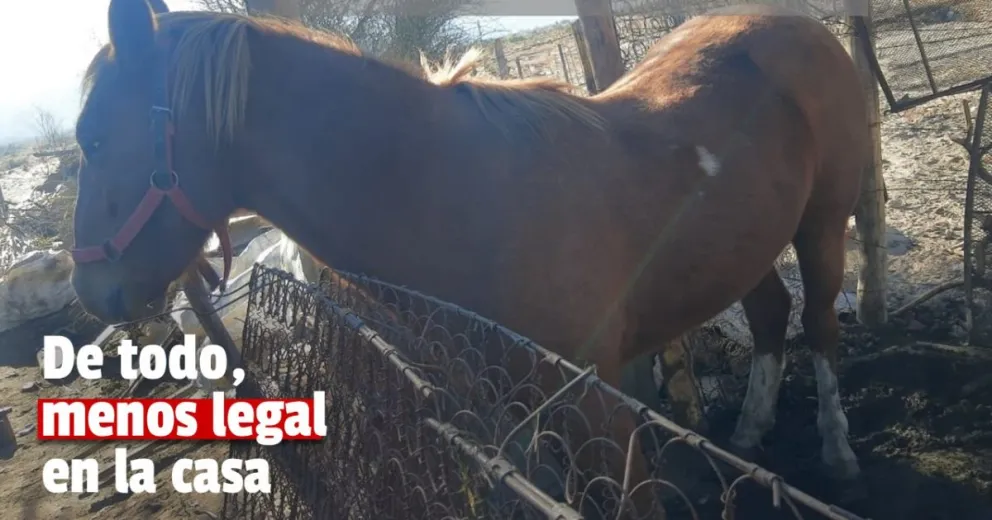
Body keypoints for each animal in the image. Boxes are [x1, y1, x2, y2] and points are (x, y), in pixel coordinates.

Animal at [70, 0, 869, 515]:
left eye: (94, 139)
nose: (91, 291)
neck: (455, 195)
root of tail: (799, 26)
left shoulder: (597, 402)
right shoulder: (504, 410)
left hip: (824, 221)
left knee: (822, 326)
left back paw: (838, 454)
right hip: (745, 245)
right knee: (771, 316)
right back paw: (751, 433)